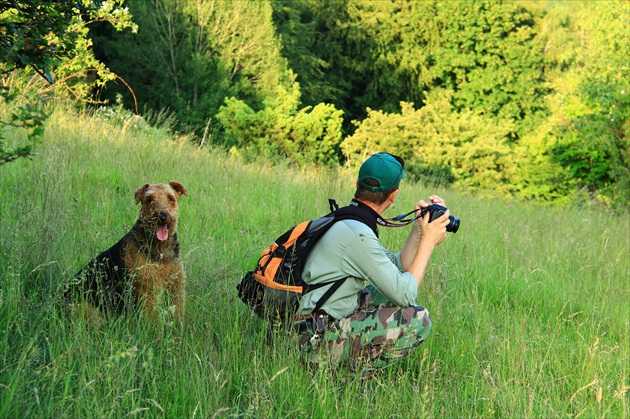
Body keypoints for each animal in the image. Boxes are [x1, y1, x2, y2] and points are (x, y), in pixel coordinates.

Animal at [67, 181, 190, 324]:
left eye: (171, 198)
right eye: (149, 199)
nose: (162, 216)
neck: (160, 250)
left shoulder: (176, 288)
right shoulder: (149, 292)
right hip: (90, 312)